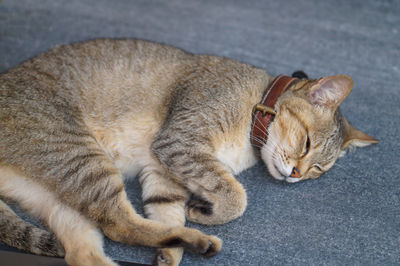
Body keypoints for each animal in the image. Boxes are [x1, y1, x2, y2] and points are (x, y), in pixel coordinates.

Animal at [0, 38, 378, 264]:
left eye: (319, 169)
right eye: (307, 144)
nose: (297, 175)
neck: (254, 104)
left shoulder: (163, 171)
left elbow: (166, 211)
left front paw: (171, 252)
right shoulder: (180, 142)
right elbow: (236, 198)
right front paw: (203, 213)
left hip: (61, 197)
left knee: (86, 249)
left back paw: (188, 241)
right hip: (80, 157)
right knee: (117, 223)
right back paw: (198, 239)